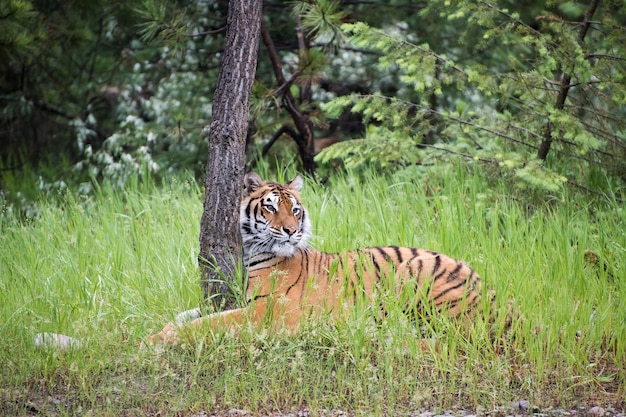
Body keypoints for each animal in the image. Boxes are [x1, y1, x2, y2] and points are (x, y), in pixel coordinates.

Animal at [146, 171, 482, 346]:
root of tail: (484, 287)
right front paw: (159, 333)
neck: (254, 252)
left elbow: (207, 323)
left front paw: (156, 341)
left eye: (294, 209)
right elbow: (188, 315)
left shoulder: (264, 311)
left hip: (415, 271)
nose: (292, 230)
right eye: (270, 207)